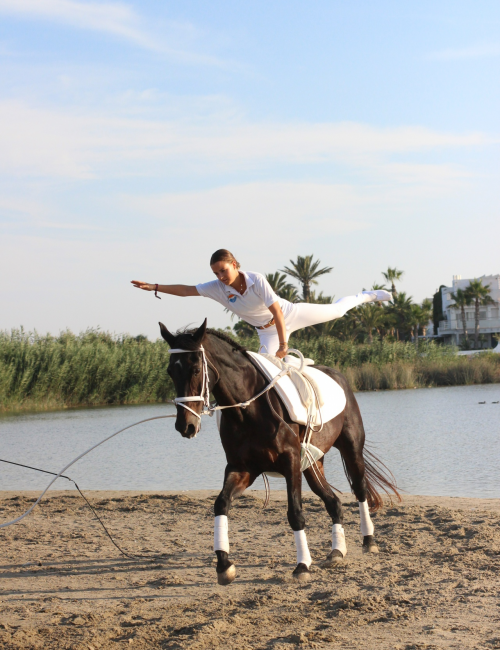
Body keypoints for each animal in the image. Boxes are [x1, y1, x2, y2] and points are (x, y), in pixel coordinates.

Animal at [160, 318, 398, 584]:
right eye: (170, 371)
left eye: (195, 370)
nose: (185, 426)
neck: (248, 409)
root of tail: (338, 376)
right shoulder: (242, 469)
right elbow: (221, 504)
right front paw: (224, 566)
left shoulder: (290, 462)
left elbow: (295, 513)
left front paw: (302, 566)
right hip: (312, 464)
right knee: (333, 502)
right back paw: (337, 551)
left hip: (351, 449)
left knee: (360, 489)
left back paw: (369, 541)